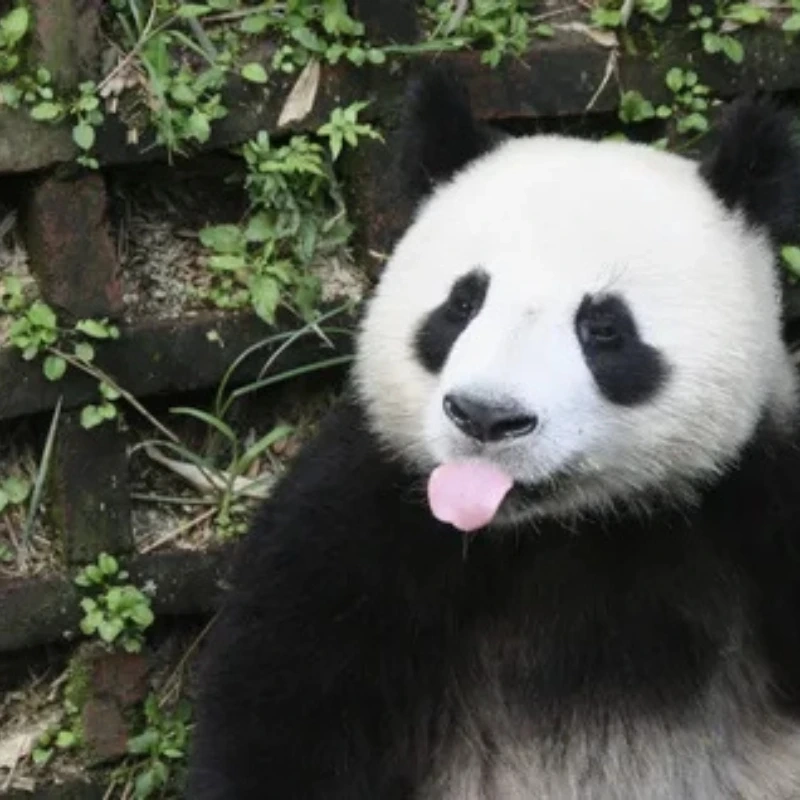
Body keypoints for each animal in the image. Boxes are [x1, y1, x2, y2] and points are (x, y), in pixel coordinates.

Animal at [186, 68, 800, 799]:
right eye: (462, 303)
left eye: (604, 327)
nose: (485, 416)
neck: (563, 531)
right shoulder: (364, 527)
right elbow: (280, 715)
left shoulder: (759, 505)